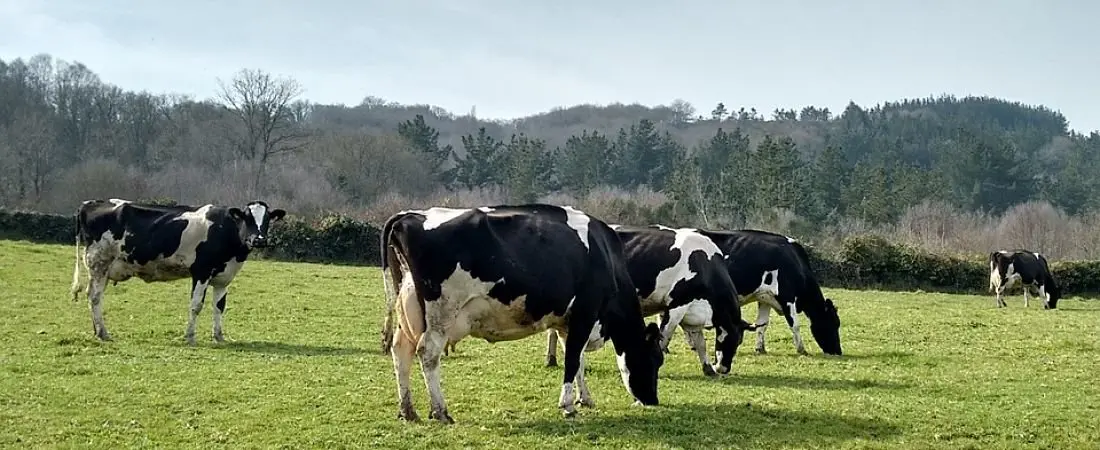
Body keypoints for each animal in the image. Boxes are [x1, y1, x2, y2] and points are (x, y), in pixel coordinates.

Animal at [69, 198, 286, 344]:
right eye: (247, 218)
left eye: (268, 219)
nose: (259, 240)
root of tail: (88, 204)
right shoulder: (201, 272)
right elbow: (196, 305)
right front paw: (190, 336)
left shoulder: (223, 278)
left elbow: (219, 307)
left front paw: (218, 336)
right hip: (98, 263)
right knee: (95, 297)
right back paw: (103, 333)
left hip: (103, 269)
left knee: (93, 296)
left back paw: (97, 331)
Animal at [378, 204, 664, 424]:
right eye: (655, 360)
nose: (652, 400)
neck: (606, 256)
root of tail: (410, 215)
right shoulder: (586, 312)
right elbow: (573, 359)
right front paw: (568, 406)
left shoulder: (567, 322)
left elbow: (578, 360)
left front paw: (584, 399)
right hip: (441, 312)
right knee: (427, 353)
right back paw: (441, 412)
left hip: (409, 309)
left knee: (401, 351)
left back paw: (408, 411)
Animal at [545, 224, 762, 378]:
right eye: (731, 339)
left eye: (740, 341)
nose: (724, 369)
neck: (703, 262)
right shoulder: (676, 305)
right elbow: (665, 336)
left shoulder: (692, 312)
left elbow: (700, 342)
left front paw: (708, 368)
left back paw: (551, 360)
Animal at [683, 229, 843, 356]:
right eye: (833, 323)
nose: (838, 351)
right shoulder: (787, 297)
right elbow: (795, 324)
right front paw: (801, 349)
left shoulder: (765, 297)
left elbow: (762, 324)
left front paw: (760, 348)